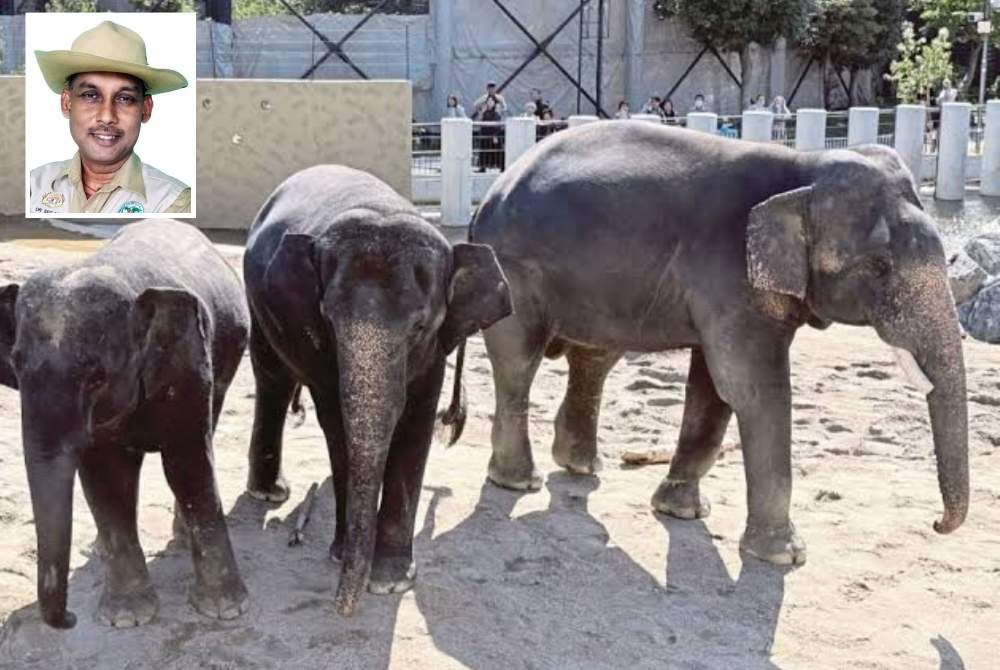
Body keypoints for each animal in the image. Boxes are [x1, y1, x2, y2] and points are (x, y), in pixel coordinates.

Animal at [0, 220, 250, 629]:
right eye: (16, 365)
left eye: (96, 377)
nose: (70, 618)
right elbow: (106, 479)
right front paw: (126, 618)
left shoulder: (189, 366)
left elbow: (187, 465)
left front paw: (224, 610)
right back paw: (99, 549)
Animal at [242, 165, 512, 616]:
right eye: (329, 318)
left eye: (420, 327)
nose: (341, 607)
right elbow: (336, 424)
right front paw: (343, 556)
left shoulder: (434, 350)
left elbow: (417, 424)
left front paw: (389, 581)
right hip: (257, 304)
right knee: (272, 378)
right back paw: (270, 493)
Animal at [461, 121, 967, 567]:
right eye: (880, 266)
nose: (936, 524)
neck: (803, 168)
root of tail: (489, 194)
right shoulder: (727, 274)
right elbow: (753, 387)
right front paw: (784, 556)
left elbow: (715, 387)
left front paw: (681, 511)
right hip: (514, 268)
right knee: (519, 361)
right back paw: (518, 482)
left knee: (596, 357)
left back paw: (581, 467)